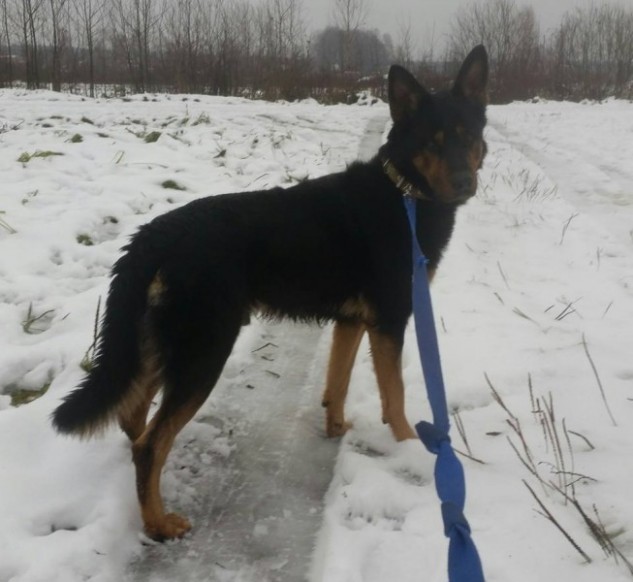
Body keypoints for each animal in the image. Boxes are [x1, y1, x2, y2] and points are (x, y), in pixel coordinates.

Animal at [53, 46, 489, 541]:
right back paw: (159, 523)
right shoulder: (390, 321)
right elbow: (393, 396)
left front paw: (336, 427)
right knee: (149, 444)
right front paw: (409, 448)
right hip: (203, 353)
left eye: (468, 137)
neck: (404, 192)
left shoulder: (352, 322)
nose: (464, 183)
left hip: (159, 345)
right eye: (432, 142)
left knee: (133, 417)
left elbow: (336, 384)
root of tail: (154, 234)